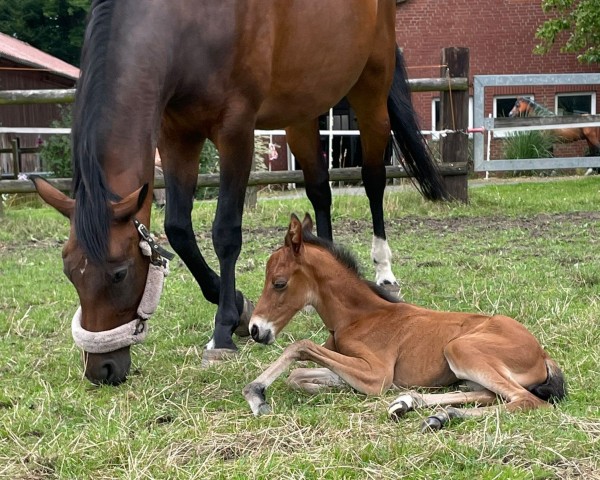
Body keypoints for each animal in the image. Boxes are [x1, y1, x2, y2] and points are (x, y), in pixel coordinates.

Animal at [31, 0, 446, 384]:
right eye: (69, 271)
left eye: (119, 273)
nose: (101, 369)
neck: (187, 24)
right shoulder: (177, 134)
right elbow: (179, 228)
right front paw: (240, 307)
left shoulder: (236, 130)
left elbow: (225, 232)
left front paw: (223, 332)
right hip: (302, 108)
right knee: (319, 189)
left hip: (371, 90)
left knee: (373, 179)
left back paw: (383, 271)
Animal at [241, 214, 564, 432]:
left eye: (279, 283)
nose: (256, 330)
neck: (358, 317)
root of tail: (543, 353)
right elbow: (298, 376)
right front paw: (336, 387)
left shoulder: (377, 374)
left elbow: (301, 346)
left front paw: (256, 393)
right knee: (488, 395)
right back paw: (418, 407)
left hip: (460, 349)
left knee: (525, 400)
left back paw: (433, 414)